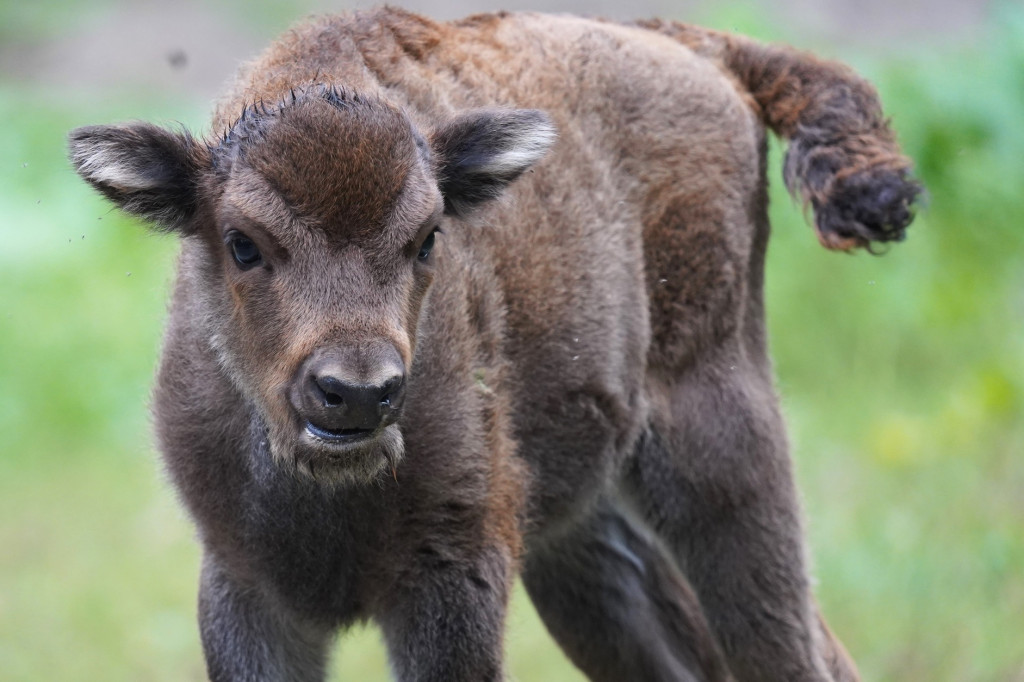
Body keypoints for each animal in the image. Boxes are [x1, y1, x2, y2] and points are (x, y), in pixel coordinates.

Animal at [72, 6, 921, 679]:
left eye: (427, 237)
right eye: (242, 243)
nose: (358, 392)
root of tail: (692, 46)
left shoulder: (453, 575)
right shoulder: (246, 587)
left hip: (722, 452)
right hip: (585, 543)